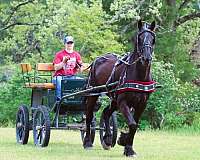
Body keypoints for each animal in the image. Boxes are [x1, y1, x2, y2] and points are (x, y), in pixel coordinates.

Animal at [83, 19, 156, 156]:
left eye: (153, 38)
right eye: (139, 38)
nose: (146, 58)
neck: (139, 76)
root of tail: (96, 60)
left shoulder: (141, 104)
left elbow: (134, 125)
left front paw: (127, 145)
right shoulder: (123, 102)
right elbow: (132, 124)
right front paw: (126, 145)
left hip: (114, 99)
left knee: (106, 113)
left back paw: (107, 138)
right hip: (93, 94)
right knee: (89, 116)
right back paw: (87, 142)